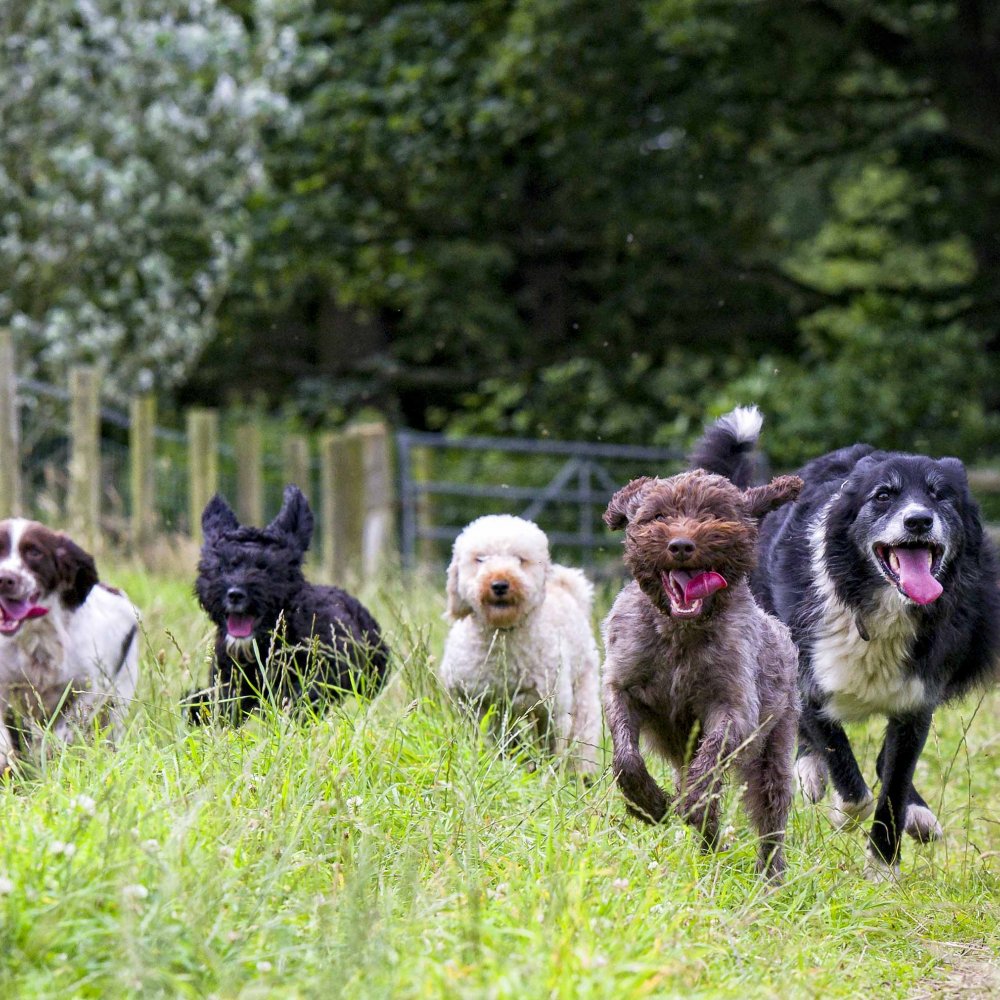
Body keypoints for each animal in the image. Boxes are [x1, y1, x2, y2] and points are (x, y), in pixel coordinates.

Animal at [440, 516, 600, 772]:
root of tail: (568, 590)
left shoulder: (552, 709)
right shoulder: (475, 703)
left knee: (583, 737)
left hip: (583, 691)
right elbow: (487, 740)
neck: (502, 634)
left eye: (520, 560)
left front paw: (548, 776)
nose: (499, 584)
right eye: (480, 559)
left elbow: (553, 748)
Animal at [600, 410, 804, 880]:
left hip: (775, 745)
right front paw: (649, 803)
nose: (680, 545)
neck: (680, 633)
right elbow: (626, 757)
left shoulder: (733, 707)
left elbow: (709, 765)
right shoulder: (622, 686)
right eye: (658, 515)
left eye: (714, 515)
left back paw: (770, 874)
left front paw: (692, 806)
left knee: (770, 810)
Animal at [696, 406, 1000, 876]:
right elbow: (849, 778)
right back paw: (811, 772)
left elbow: (893, 785)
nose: (918, 520)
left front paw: (883, 865)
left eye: (941, 497)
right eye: (883, 495)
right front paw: (842, 809)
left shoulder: (916, 702)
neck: (875, 606)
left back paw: (918, 815)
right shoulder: (808, 682)